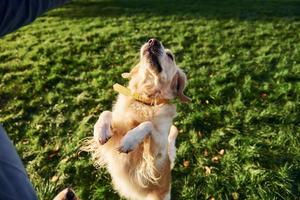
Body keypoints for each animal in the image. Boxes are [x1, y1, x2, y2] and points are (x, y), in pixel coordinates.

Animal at [82, 38, 190, 199]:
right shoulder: (112, 141)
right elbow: (107, 112)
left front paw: (129, 140)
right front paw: (100, 131)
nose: (153, 41)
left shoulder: (157, 156)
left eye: (170, 56)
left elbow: (148, 124)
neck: (146, 100)